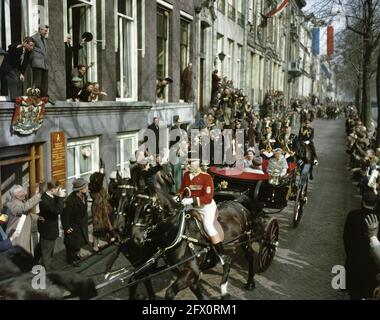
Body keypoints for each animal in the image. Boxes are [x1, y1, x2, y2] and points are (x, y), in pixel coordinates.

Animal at [128, 188, 258, 300]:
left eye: (147, 209)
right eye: (132, 206)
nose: (136, 238)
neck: (179, 233)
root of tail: (237, 203)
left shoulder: (191, 272)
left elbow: (169, 293)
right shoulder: (190, 275)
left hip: (246, 240)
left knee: (248, 257)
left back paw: (249, 283)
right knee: (226, 262)